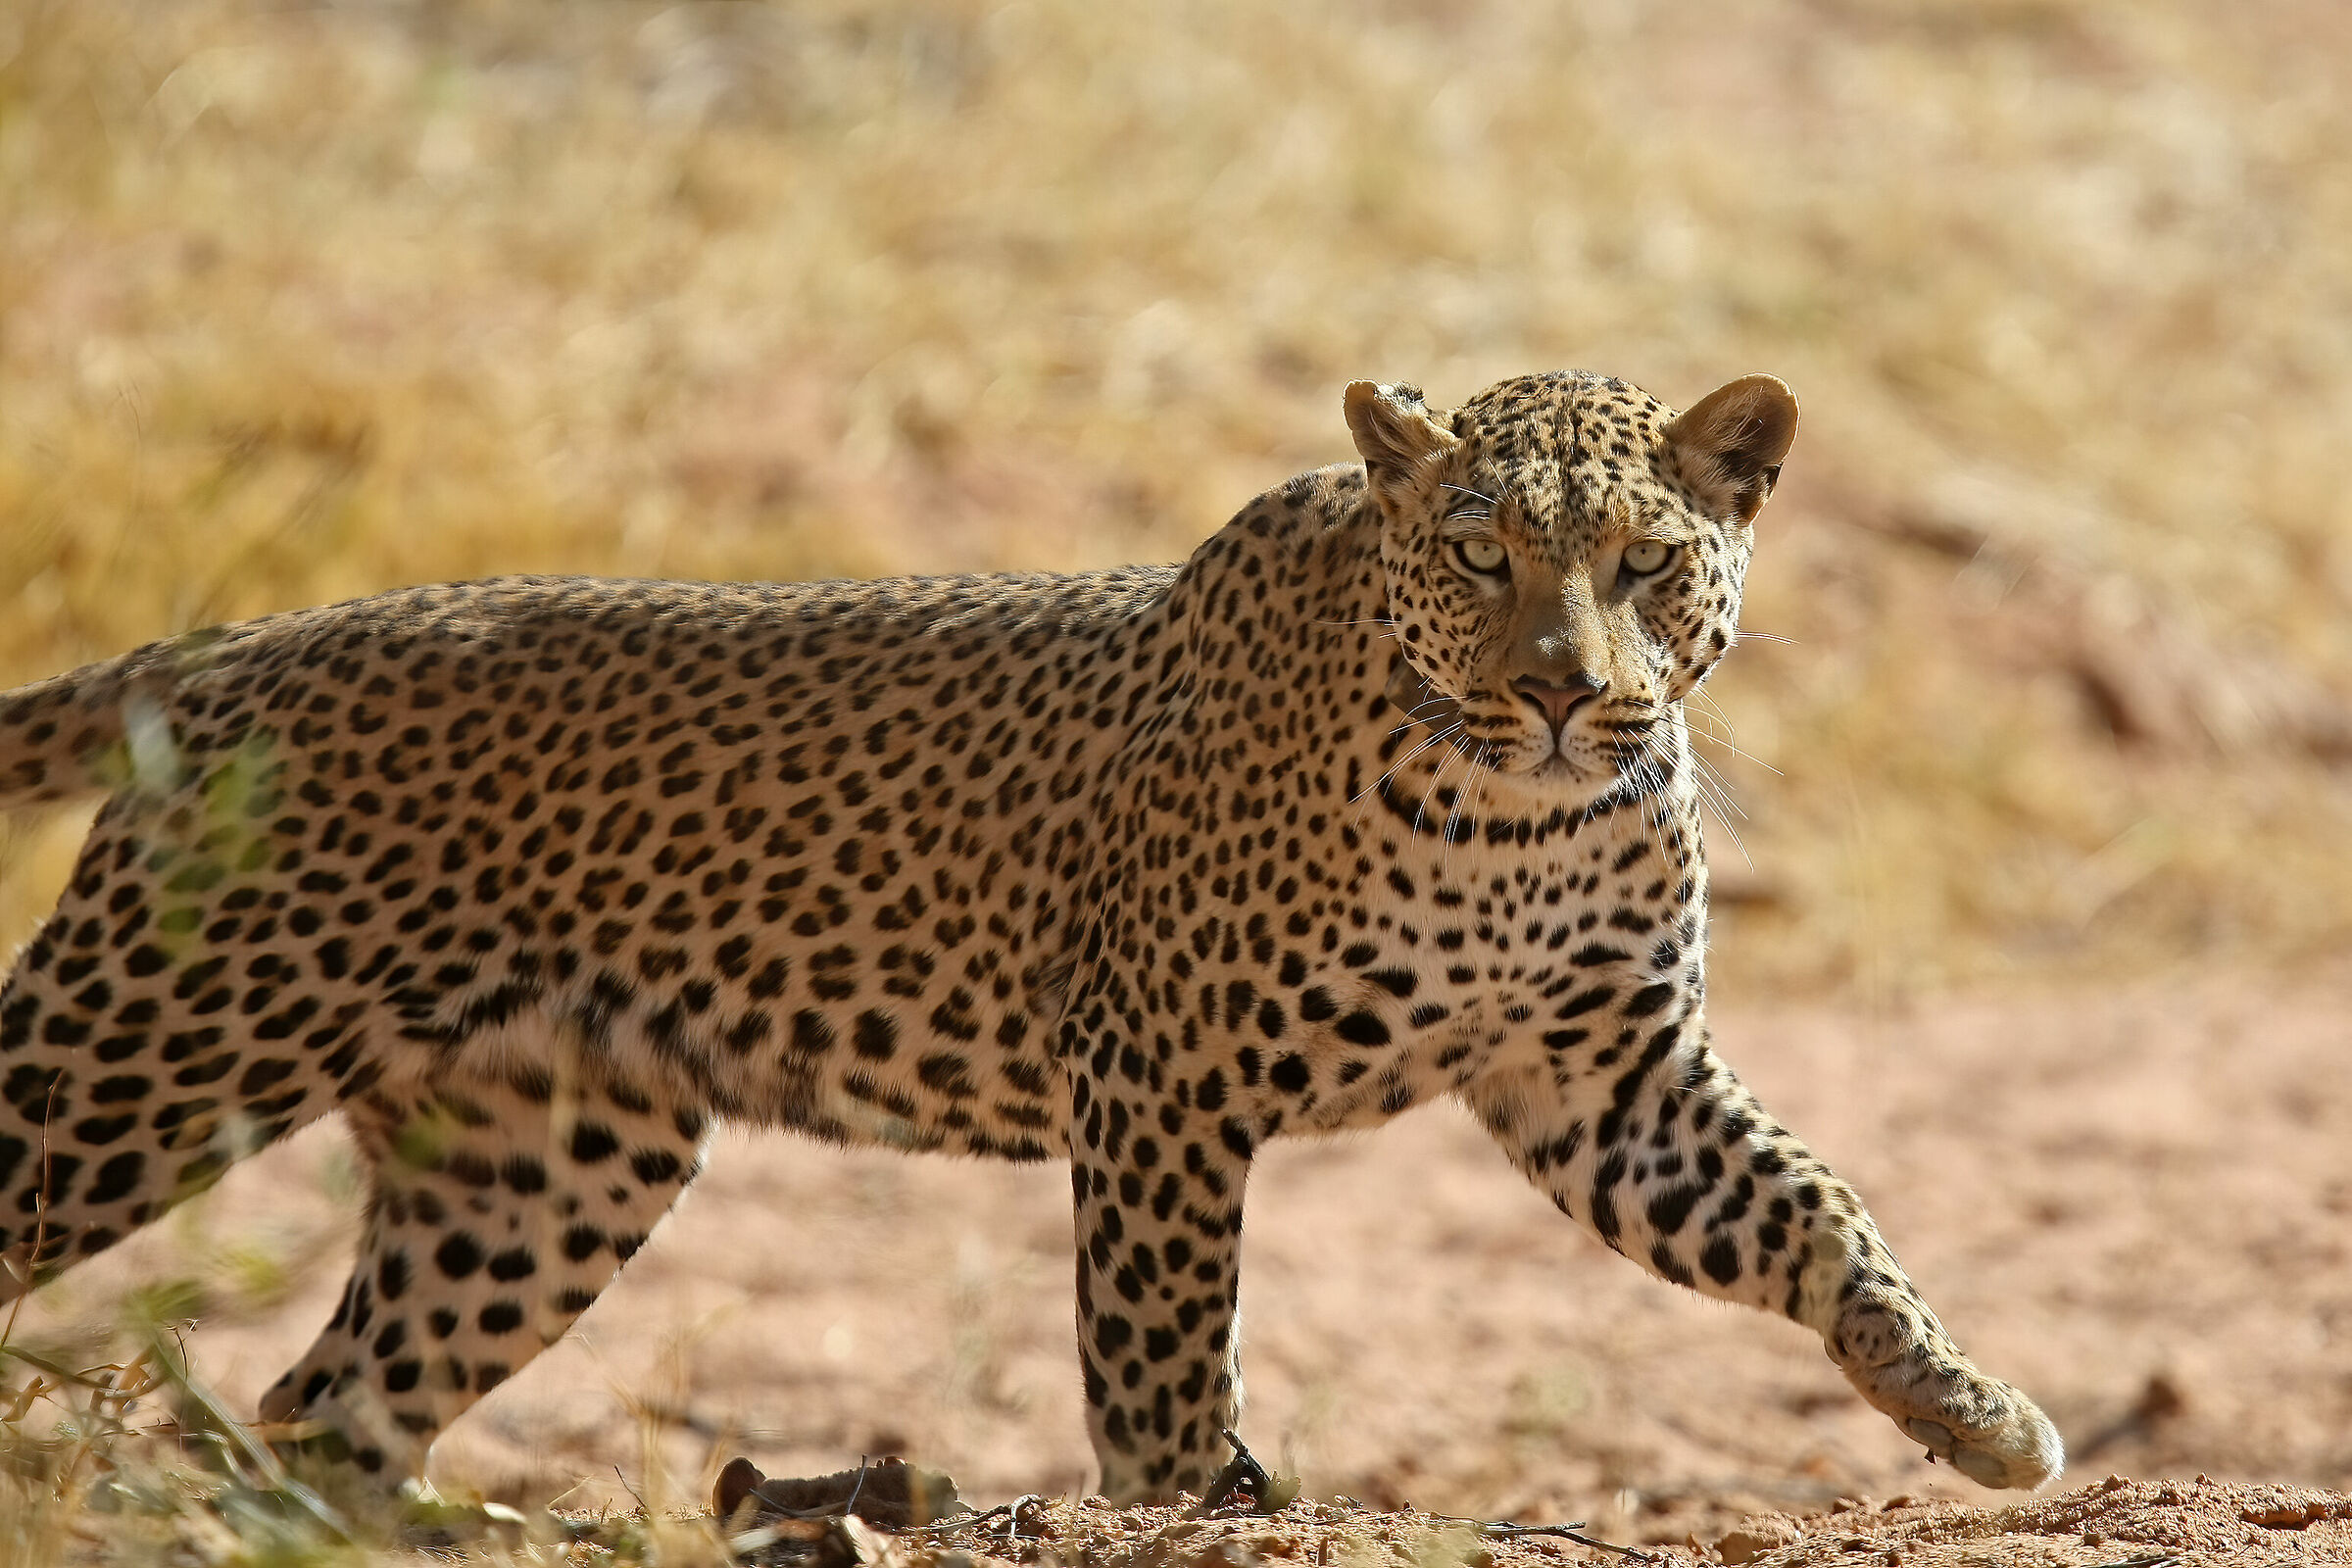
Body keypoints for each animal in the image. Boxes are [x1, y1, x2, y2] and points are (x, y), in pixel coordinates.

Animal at [0, 368, 2063, 1504]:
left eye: (1646, 562)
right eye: (1481, 556)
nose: (1561, 691)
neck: (1513, 820)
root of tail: (236, 647)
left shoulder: (1599, 1085)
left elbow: (1813, 1210)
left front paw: (1965, 1411)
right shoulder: (1161, 1085)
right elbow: (1158, 1338)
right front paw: (1191, 1503)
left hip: (545, 1163)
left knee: (325, 1407)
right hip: (149, 1052)